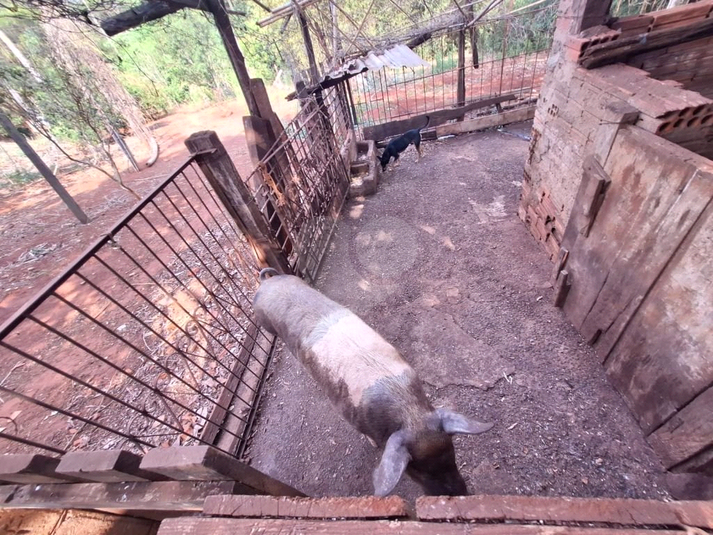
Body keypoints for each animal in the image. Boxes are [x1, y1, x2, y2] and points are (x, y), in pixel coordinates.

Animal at [249, 268, 490, 498]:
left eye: (452, 454)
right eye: (416, 469)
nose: (459, 493)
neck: (409, 413)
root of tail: (267, 283)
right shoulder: (349, 414)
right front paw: (373, 444)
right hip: (266, 323)